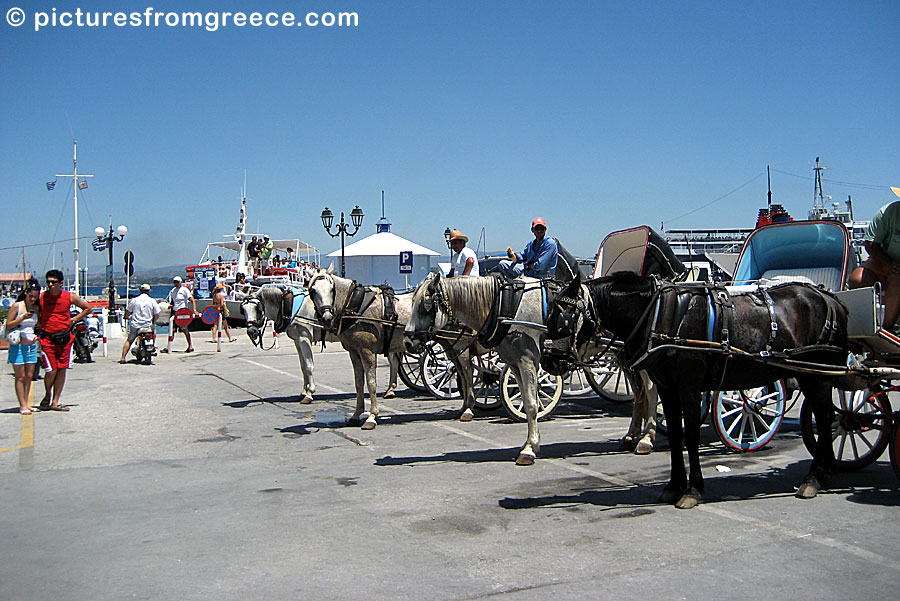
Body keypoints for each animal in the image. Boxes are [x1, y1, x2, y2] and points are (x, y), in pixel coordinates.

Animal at [404, 272, 544, 464]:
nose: (407, 342)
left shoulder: (465, 351)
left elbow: (468, 375)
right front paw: (465, 406)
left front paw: (468, 409)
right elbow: (463, 378)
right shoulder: (512, 362)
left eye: (425, 306)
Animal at [544, 272, 856, 506]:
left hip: (817, 375)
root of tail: (832, 299)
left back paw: (814, 477)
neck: (660, 314)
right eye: (551, 314)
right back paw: (825, 470)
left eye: (566, 317)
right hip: (813, 375)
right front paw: (673, 485)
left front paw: (692, 490)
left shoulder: (690, 387)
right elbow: (674, 435)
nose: (550, 362)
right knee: (825, 416)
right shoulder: (668, 388)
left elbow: (691, 435)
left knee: (824, 417)